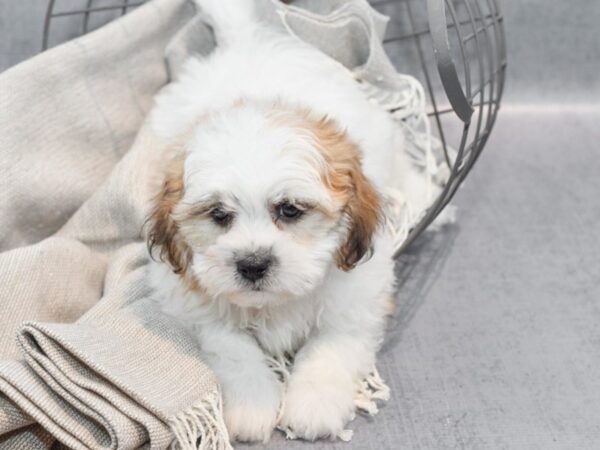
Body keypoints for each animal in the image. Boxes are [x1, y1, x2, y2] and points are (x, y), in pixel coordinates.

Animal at [146, 0, 432, 442]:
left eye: (290, 210)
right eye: (218, 215)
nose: (252, 264)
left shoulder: (357, 297)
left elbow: (330, 346)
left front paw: (314, 404)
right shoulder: (198, 305)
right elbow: (233, 346)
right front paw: (252, 404)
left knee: (403, 165)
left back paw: (425, 195)